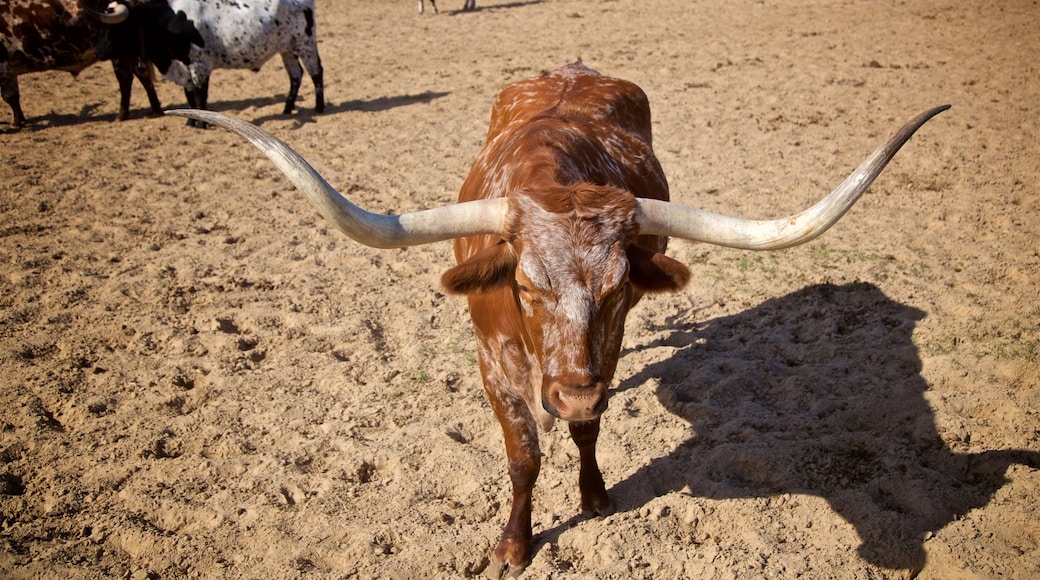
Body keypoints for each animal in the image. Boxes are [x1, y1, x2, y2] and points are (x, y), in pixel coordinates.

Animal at [0, 0, 162, 128]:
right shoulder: (9, 72)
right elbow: (12, 96)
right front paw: (18, 121)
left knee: (128, 78)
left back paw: (125, 114)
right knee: (138, 75)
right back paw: (151, 109)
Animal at [128, 0, 324, 128]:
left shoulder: (200, 63)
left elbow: (200, 95)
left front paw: (201, 125)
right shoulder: (183, 67)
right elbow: (189, 95)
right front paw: (190, 122)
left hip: (304, 43)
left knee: (316, 72)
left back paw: (319, 107)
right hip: (287, 49)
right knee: (296, 75)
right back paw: (287, 109)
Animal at [172, 62, 952, 573]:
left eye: (617, 289)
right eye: (523, 286)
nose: (571, 390)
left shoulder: (605, 351)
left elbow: (585, 433)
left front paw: (594, 493)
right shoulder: (491, 362)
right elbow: (523, 457)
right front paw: (514, 545)